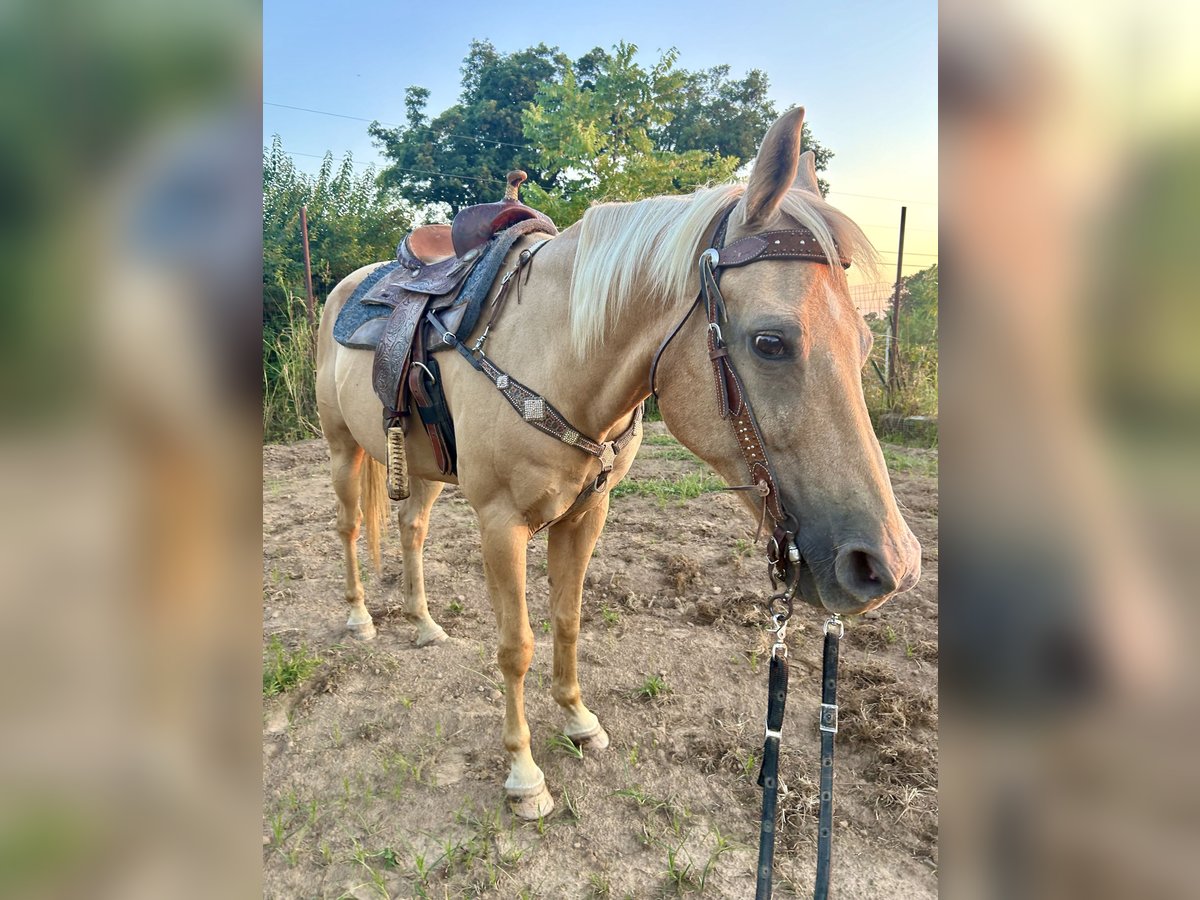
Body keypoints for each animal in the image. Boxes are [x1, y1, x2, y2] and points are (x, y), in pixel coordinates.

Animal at [315, 108, 921, 819]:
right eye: (770, 342)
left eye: (867, 342)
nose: (890, 566)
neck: (553, 351)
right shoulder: (500, 524)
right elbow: (516, 647)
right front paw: (524, 774)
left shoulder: (587, 514)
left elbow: (568, 621)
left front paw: (579, 721)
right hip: (342, 448)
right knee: (350, 528)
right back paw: (359, 617)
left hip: (423, 465)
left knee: (410, 530)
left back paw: (424, 626)